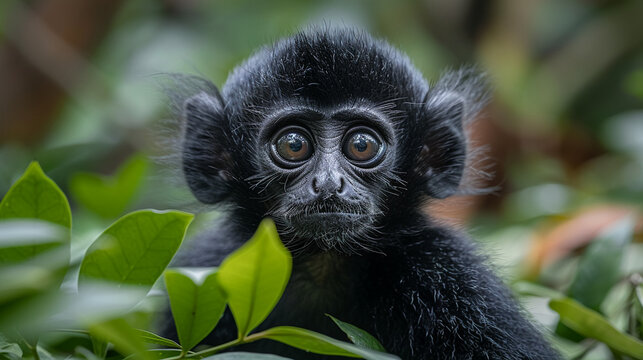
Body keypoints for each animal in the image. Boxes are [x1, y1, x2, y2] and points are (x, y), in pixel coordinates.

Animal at [162, 28, 564, 360]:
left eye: (361, 145)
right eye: (293, 144)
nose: (328, 183)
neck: (323, 266)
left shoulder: (455, 281)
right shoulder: (205, 267)